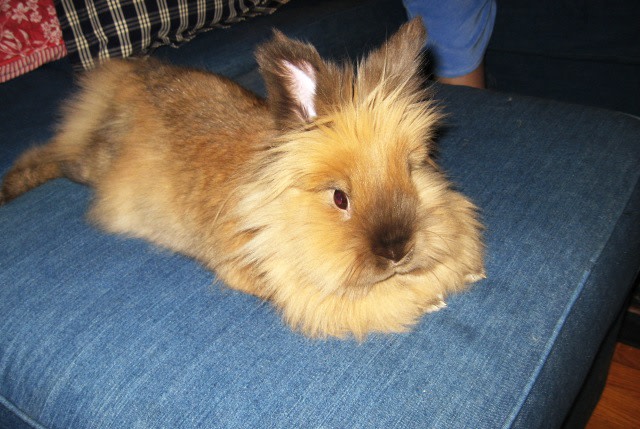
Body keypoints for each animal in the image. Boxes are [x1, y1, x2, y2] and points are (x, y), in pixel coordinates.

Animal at [0, 18, 484, 339]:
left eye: (412, 170)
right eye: (339, 198)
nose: (398, 251)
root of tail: (127, 80)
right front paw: (429, 298)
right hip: (89, 167)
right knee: (53, 156)